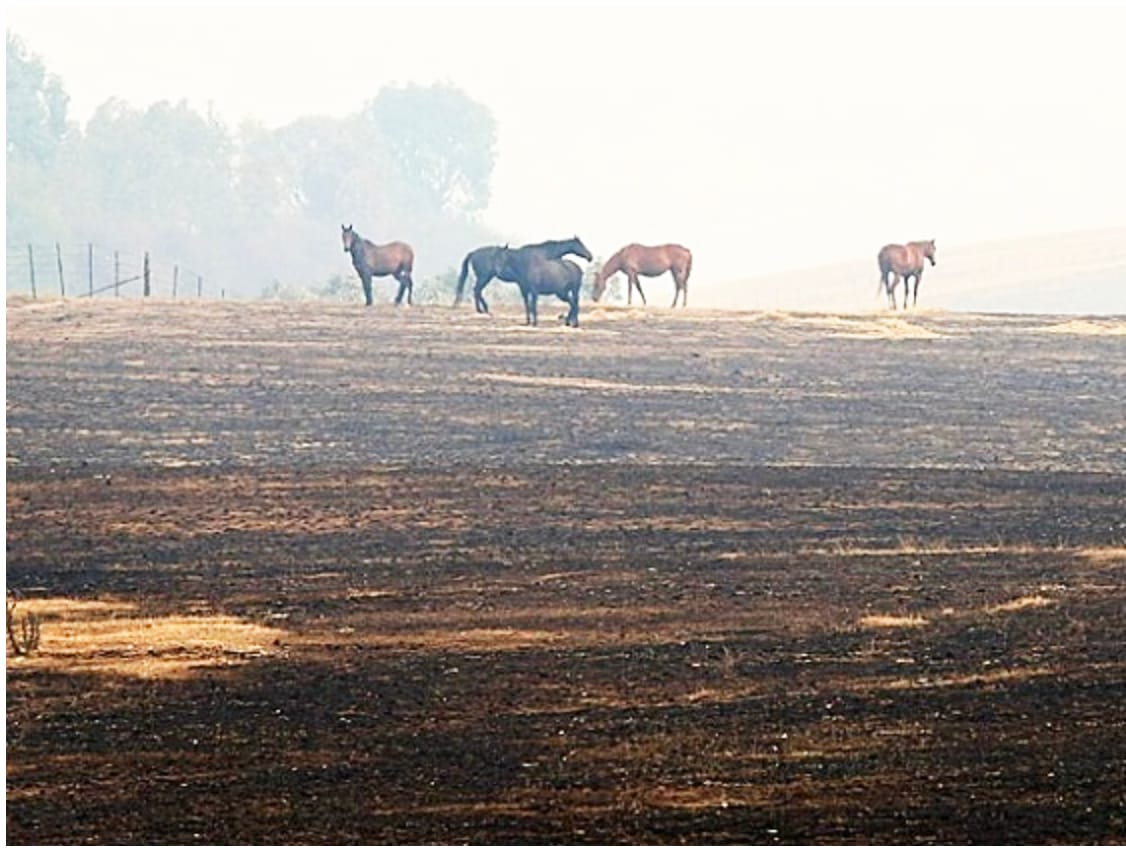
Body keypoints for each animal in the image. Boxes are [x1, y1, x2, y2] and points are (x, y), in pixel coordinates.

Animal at [454, 236, 592, 314]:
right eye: (580, 244)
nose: (590, 256)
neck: (544, 253)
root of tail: (473, 252)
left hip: (485, 278)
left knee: (477, 291)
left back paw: (483, 310)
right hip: (484, 277)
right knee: (476, 290)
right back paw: (482, 310)